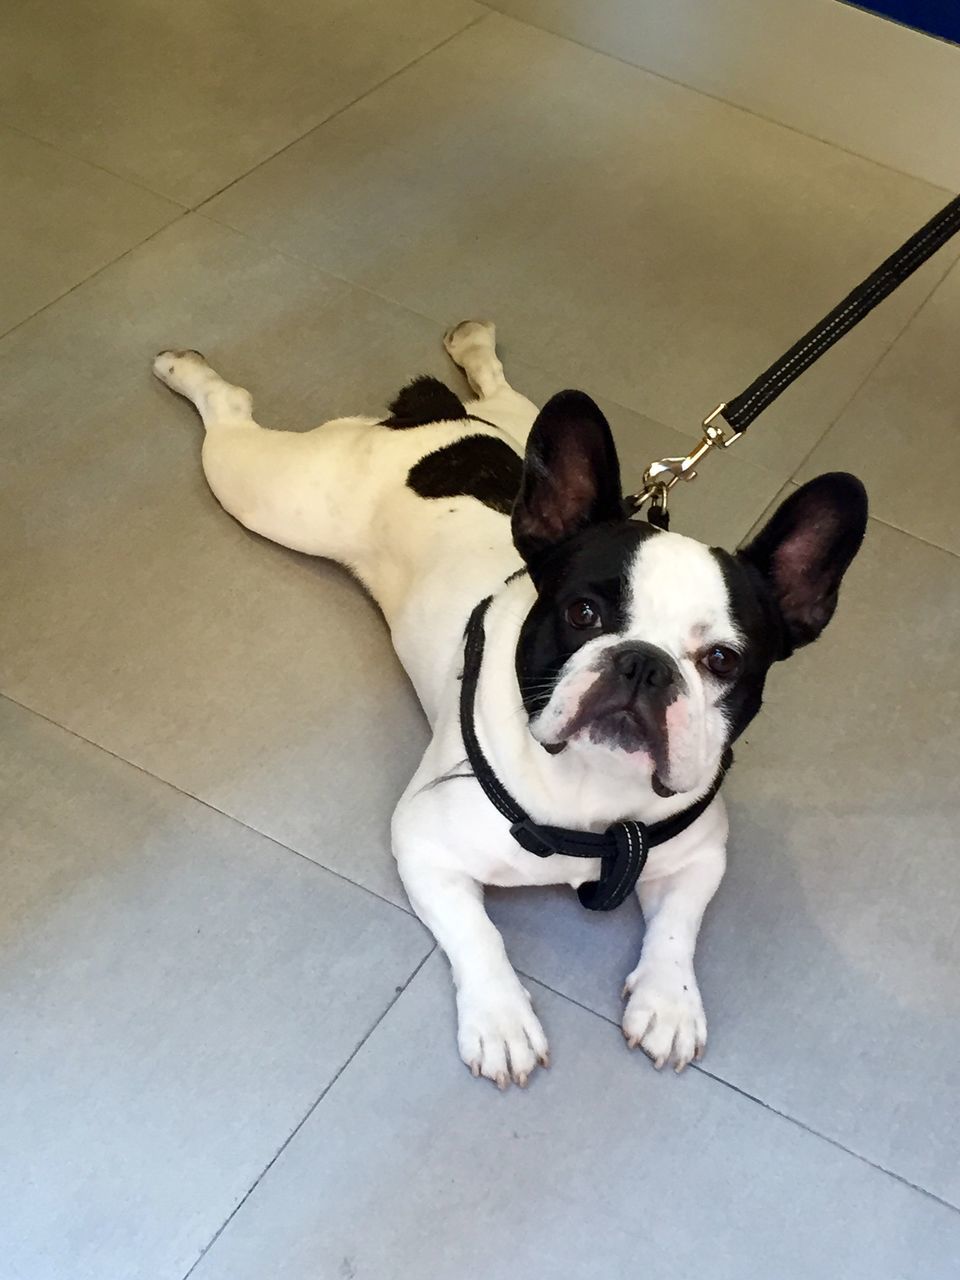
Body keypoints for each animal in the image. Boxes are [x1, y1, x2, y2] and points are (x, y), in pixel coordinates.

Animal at [154, 322, 870, 1090]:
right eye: (582, 613)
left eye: (723, 662)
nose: (642, 662)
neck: (592, 795)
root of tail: (430, 419)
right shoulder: (425, 844)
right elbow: (479, 934)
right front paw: (500, 1021)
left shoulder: (700, 858)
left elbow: (678, 929)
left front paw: (670, 1003)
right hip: (272, 495)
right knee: (230, 415)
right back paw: (185, 371)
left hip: (525, 431)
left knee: (504, 396)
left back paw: (475, 351)